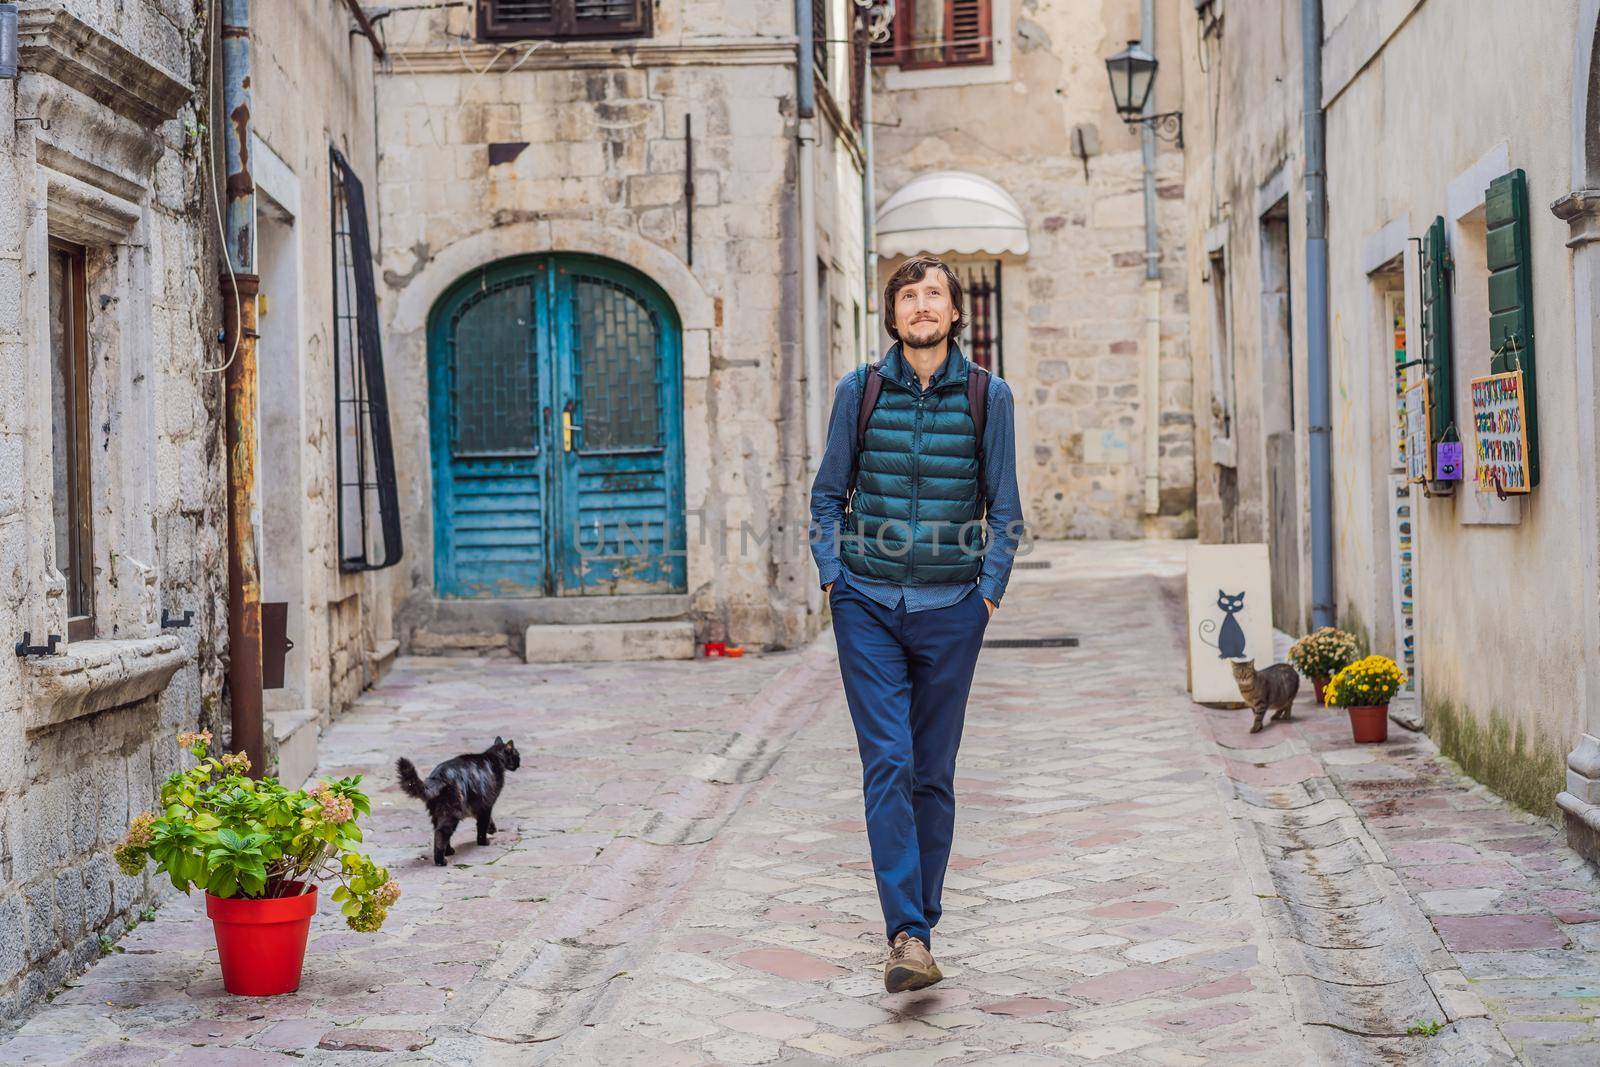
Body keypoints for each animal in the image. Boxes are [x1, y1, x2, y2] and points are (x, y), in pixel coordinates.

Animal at [396, 742, 521, 870]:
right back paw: (441, 860)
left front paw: (492, 828)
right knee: (441, 834)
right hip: (452, 813)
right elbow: (482, 826)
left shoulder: (478, 806)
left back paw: (449, 851)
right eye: (517, 755)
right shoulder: (486, 804)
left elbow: (486, 821)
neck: (493, 758)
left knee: (440, 833)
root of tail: (438, 776)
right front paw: (484, 841)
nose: (519, 764)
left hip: (438, 814)